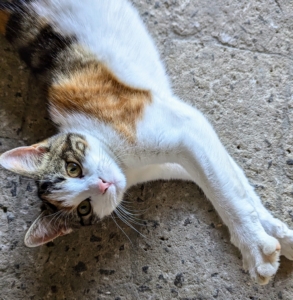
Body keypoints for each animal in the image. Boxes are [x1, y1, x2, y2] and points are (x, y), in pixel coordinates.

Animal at [0, 0, 292, 286]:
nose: (104, 184)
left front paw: (256, 246)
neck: (127, 165)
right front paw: (272, 237)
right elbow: (233, 185)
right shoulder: (186, 153)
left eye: (73, 168)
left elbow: (226, 191)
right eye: (84, 208)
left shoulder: (187, 128)